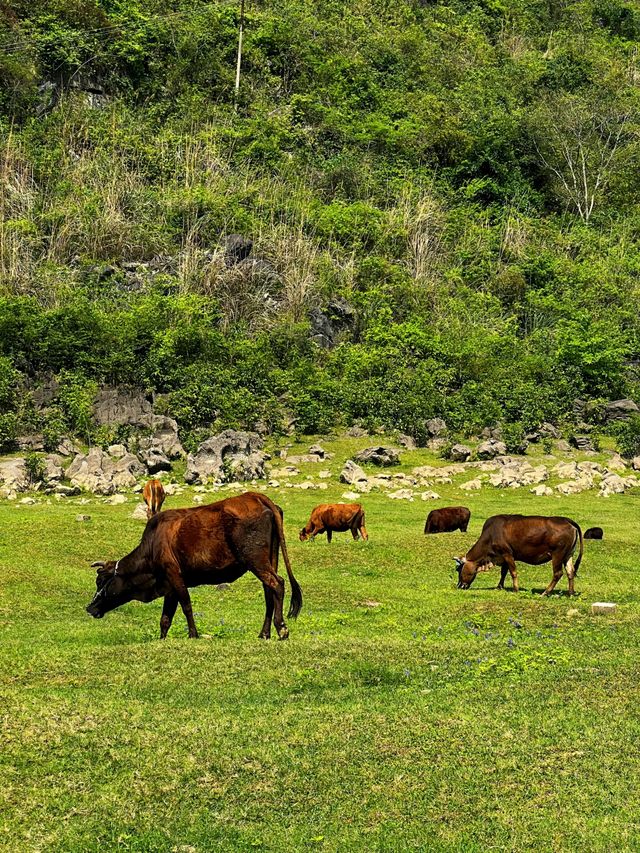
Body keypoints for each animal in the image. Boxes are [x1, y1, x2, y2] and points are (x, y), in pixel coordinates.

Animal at [87, 492, 302, 640]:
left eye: (101, 581)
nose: (89, 608)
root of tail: (255, 496)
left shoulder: (174, 575)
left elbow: (186, 606)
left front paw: (193, 634)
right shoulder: (169, 586)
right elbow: (165, 618)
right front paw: (162, 640)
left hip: (256, 561)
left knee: (278, 584)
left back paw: (281, 628)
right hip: (269, 559)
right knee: (269, 593)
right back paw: (264, 633)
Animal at [452, 516, 584, 596]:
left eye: (459, 569)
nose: (459, 585)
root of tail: (567, 520)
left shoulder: (507, 553)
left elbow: (513, 572)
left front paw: (515, 589)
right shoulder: (503, 557)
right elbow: (503, 572)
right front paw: (499, 587)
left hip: (557, 554)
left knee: (558, 573)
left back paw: (545, 592)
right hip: (568, 555)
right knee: (570, 572)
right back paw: (571, 593)